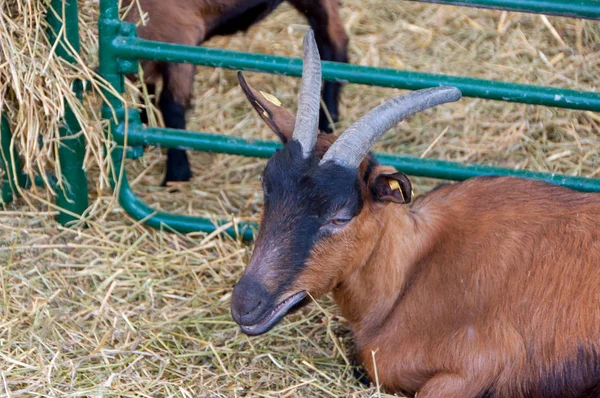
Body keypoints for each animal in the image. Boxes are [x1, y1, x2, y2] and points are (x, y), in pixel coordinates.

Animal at [123, 0, 346, 184]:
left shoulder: (179, 40)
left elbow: (172, 107)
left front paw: (177, 175)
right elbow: (146, 93)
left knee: (334, 41)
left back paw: (329, 120)